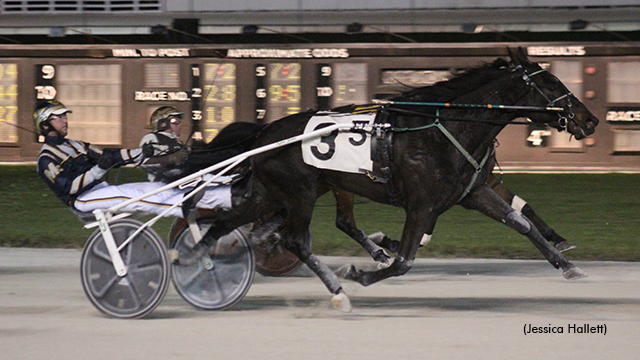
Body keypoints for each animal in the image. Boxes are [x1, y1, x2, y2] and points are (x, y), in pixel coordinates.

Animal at [179, 48, 600, 312]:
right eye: (551, 85)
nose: (589, 119)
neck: (445, 126)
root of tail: (264, 133)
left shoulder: (473, 191)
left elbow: (522, 222)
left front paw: (568, 265)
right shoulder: (422, 204)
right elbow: (404, 260)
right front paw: (362, 273)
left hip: (274, 193)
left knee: (224, 225)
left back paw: (198, 263)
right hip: (299, 192)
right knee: (296, 240)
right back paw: (339, 291)